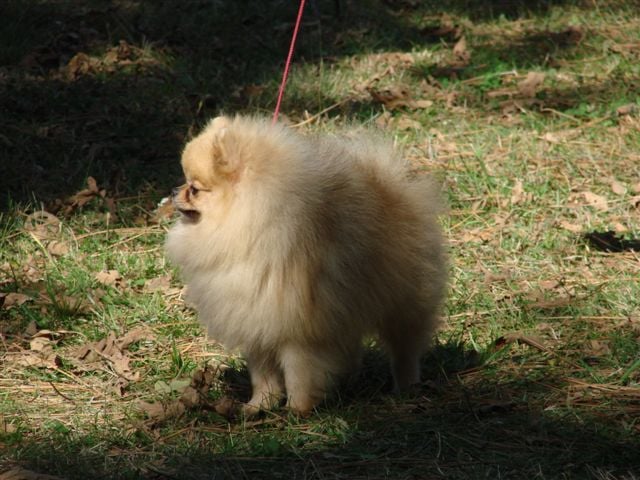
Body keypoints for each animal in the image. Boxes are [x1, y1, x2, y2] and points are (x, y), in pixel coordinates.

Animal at [165, 114, 444, 414]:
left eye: (194, 189)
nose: (174, 190)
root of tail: (390, 188)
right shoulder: (256, 322)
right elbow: (263, 375)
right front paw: (258, 405)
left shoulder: (298, 330)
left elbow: (299, 374)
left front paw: (297, 410)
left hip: (403, 303)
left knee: (405, 347)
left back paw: (406, 385)